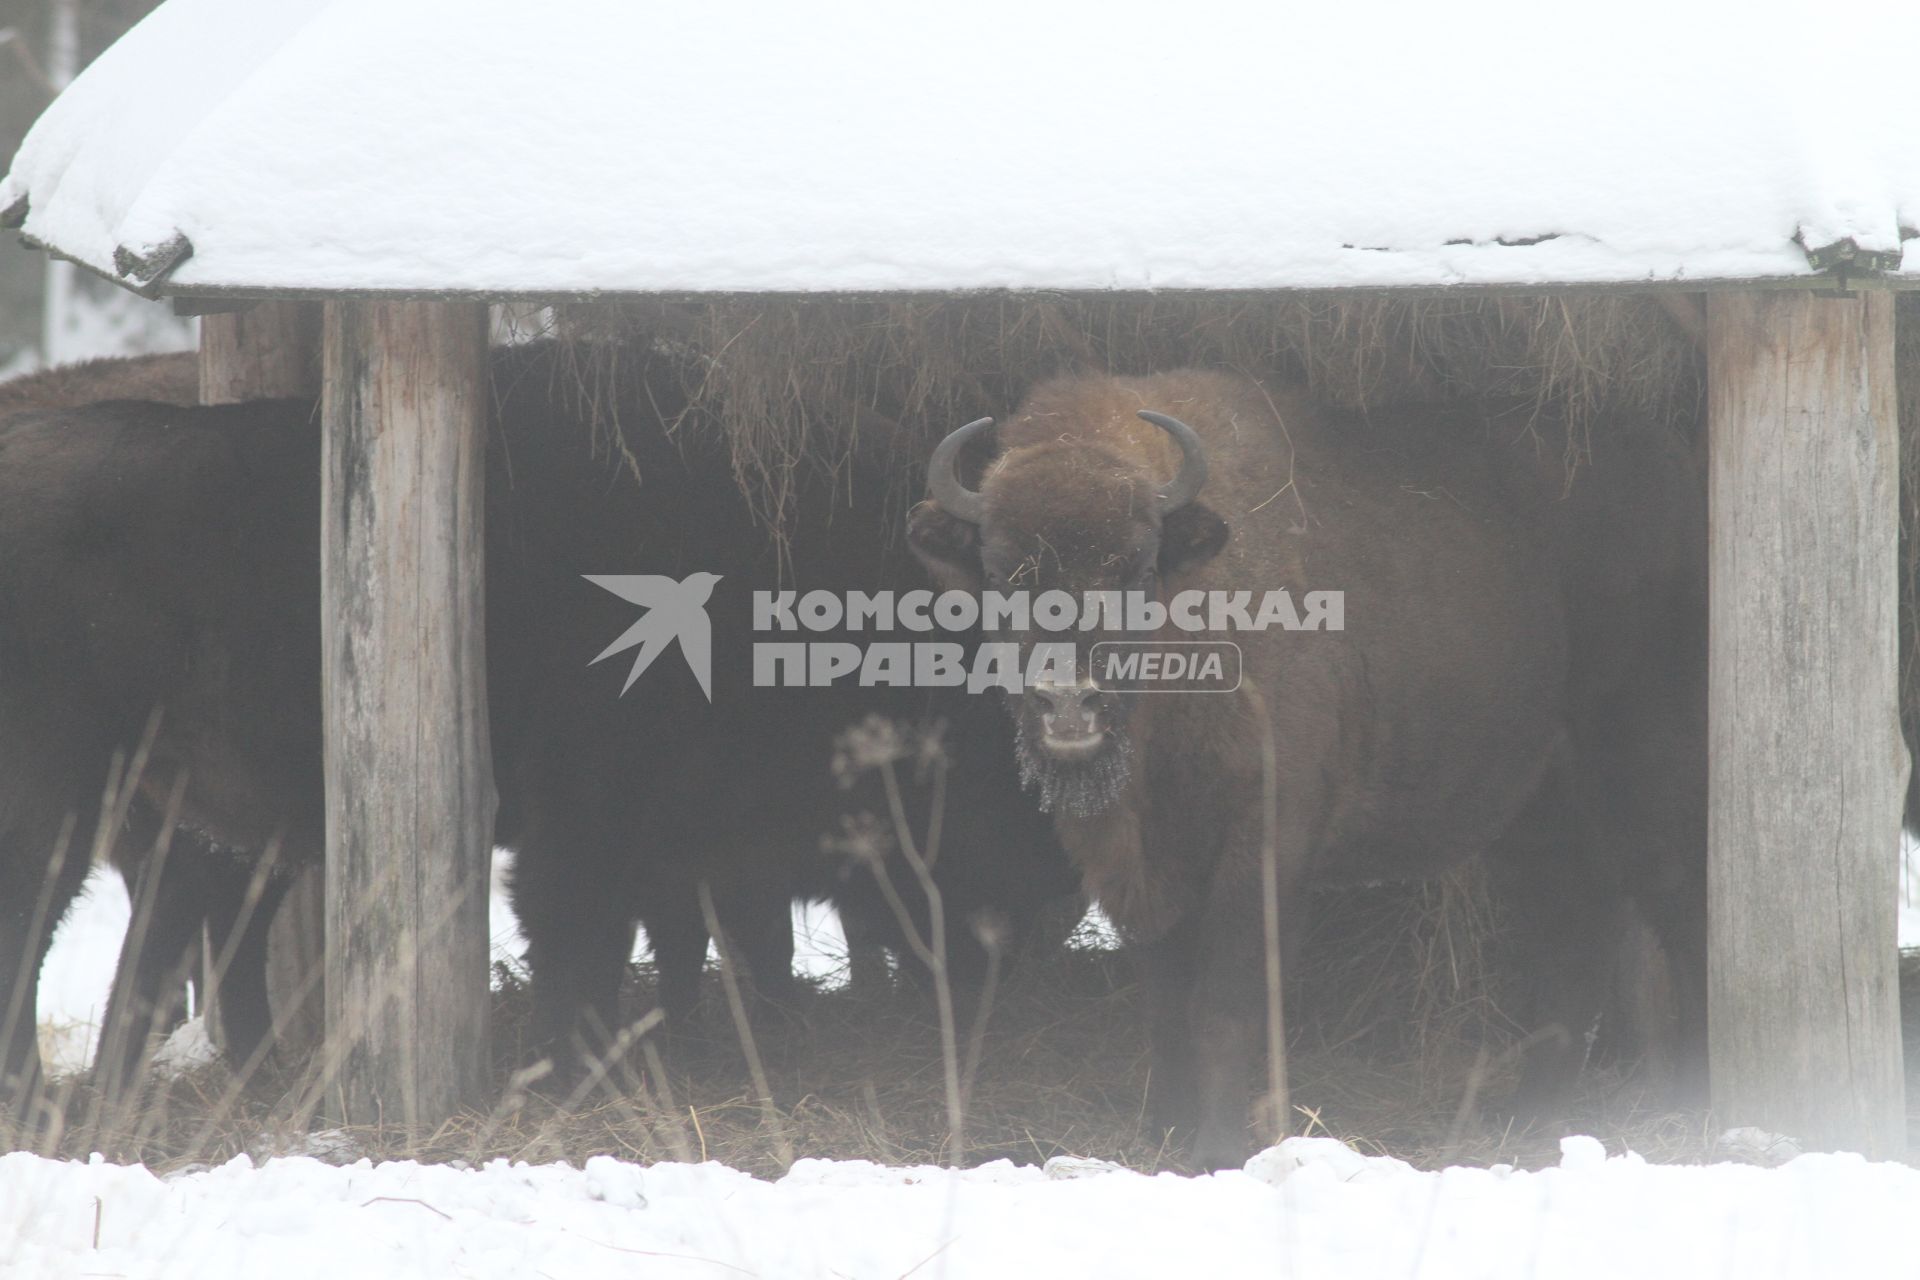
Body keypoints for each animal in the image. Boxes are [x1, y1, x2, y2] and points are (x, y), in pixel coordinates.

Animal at [0, 343, 1082, 1113]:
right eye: (990, 731)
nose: (1051, 902)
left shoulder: (683, 844)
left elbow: (680, 940)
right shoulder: (593, 826)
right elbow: (584, 939)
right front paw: (589, 1073)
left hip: (199, 817)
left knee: (175, 937)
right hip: (63, 798)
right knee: (48, 924)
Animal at [913, 370, 1712, 1174]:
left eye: (1135, 569)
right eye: (999, 572)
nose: (1067, 701)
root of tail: (1681, 477)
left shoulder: (1262, 849)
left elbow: (1224, 1005)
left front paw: (1217, 1148)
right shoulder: (1139, 871)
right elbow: (1165, 1008)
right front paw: (1168, 1138)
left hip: (1647, 772)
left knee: (1679, 903)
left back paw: (1701, 1098)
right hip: (1535, 809)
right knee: (1572, 928)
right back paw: (1529, 1111)